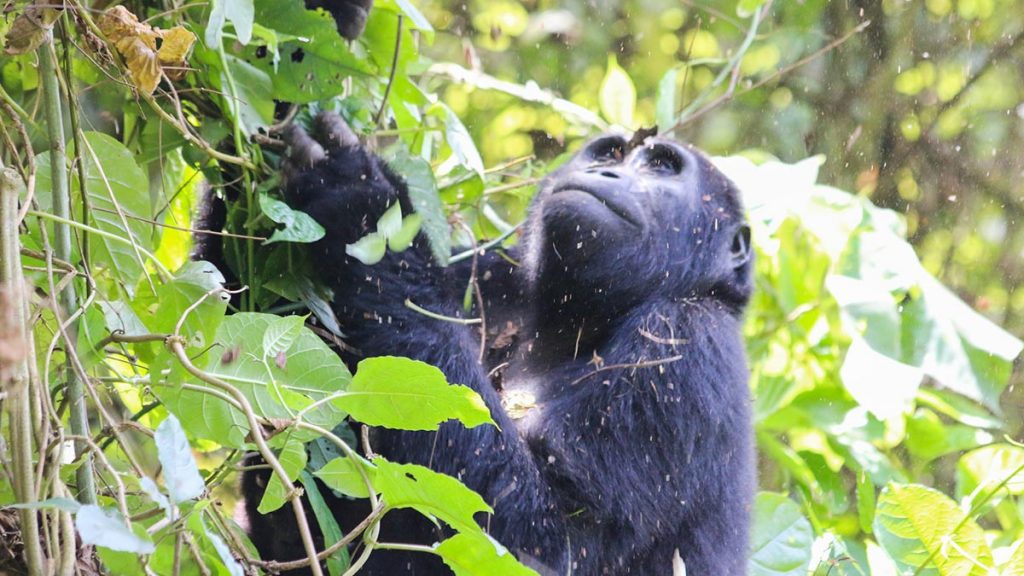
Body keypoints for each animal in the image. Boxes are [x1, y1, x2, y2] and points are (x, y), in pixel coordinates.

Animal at [235, 113, 757, 573]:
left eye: (662, 167)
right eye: (610, 152)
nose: (604, 172)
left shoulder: (686, 341)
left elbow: (544, 541)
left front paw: (361, 204)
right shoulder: (489, 273)